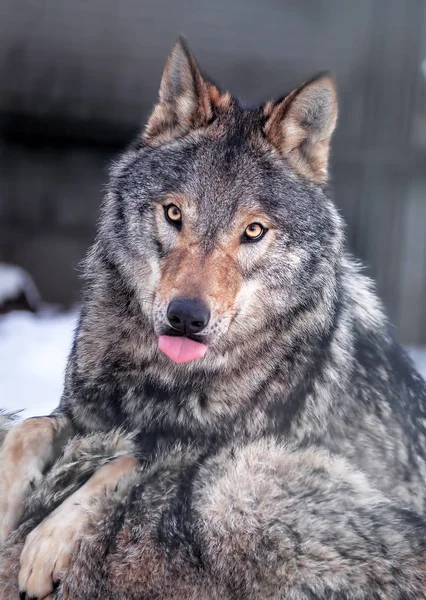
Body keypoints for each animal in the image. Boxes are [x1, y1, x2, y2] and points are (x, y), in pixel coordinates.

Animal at [0, 39, 426, 596]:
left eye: (253, 231)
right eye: (174, 213)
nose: (185, 317)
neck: (160, 380)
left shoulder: (196, 451)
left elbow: (123, 461)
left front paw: (45, 542)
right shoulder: (80, 415)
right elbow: (25, 432)